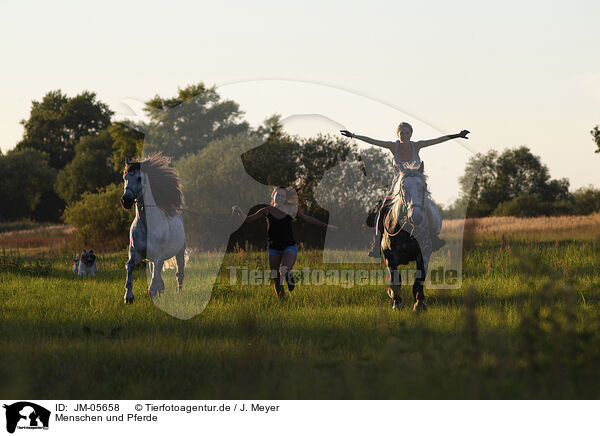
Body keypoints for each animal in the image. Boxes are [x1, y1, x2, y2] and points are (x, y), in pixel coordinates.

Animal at [120, 153, 186, 304]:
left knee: (179, 273)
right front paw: (128, 297)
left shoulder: (159, 256)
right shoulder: (136, 253)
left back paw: (179, 293)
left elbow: (154, 281)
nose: (125, 200)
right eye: (125, 177)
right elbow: (130, 267)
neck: (147, 225)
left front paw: (153, 295)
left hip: (180, 252)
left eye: (139, 178)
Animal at [380, 163, 432, 310]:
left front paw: (419, 304)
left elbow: (419, 279)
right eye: (403, 187)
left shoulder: (423, 254)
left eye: (424, 186)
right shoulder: (390, 257)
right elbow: (395, 280)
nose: (415, 217)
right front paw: (397, 303)